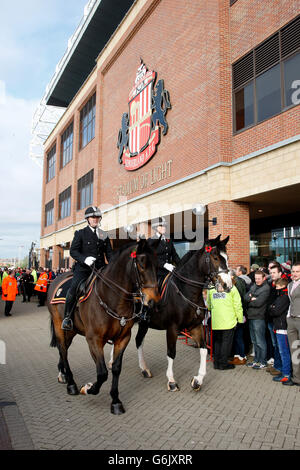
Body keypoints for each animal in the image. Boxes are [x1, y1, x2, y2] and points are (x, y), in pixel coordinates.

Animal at [47, 239, 159, 414]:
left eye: (157, 264)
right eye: (141, 264)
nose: (153, 301)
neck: (113, 298)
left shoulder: (123, 338)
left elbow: (116, 369)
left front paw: (116, 401)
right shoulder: (94, 339)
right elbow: (102, 373)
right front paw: (88, 388)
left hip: (71, 330)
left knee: (63, 348)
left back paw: (63, 374)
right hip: (60, 325)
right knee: (63, 349)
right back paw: (71, 384)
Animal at [134, 235, 232, 392]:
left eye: (226, 257)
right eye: (215, 257)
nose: (227, 285)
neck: (186, 291)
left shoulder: (196, 326)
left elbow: (204, 349)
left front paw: (197, 380)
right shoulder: (172, 328)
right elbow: (171, 353)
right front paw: (171, 381)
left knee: (137, 340)